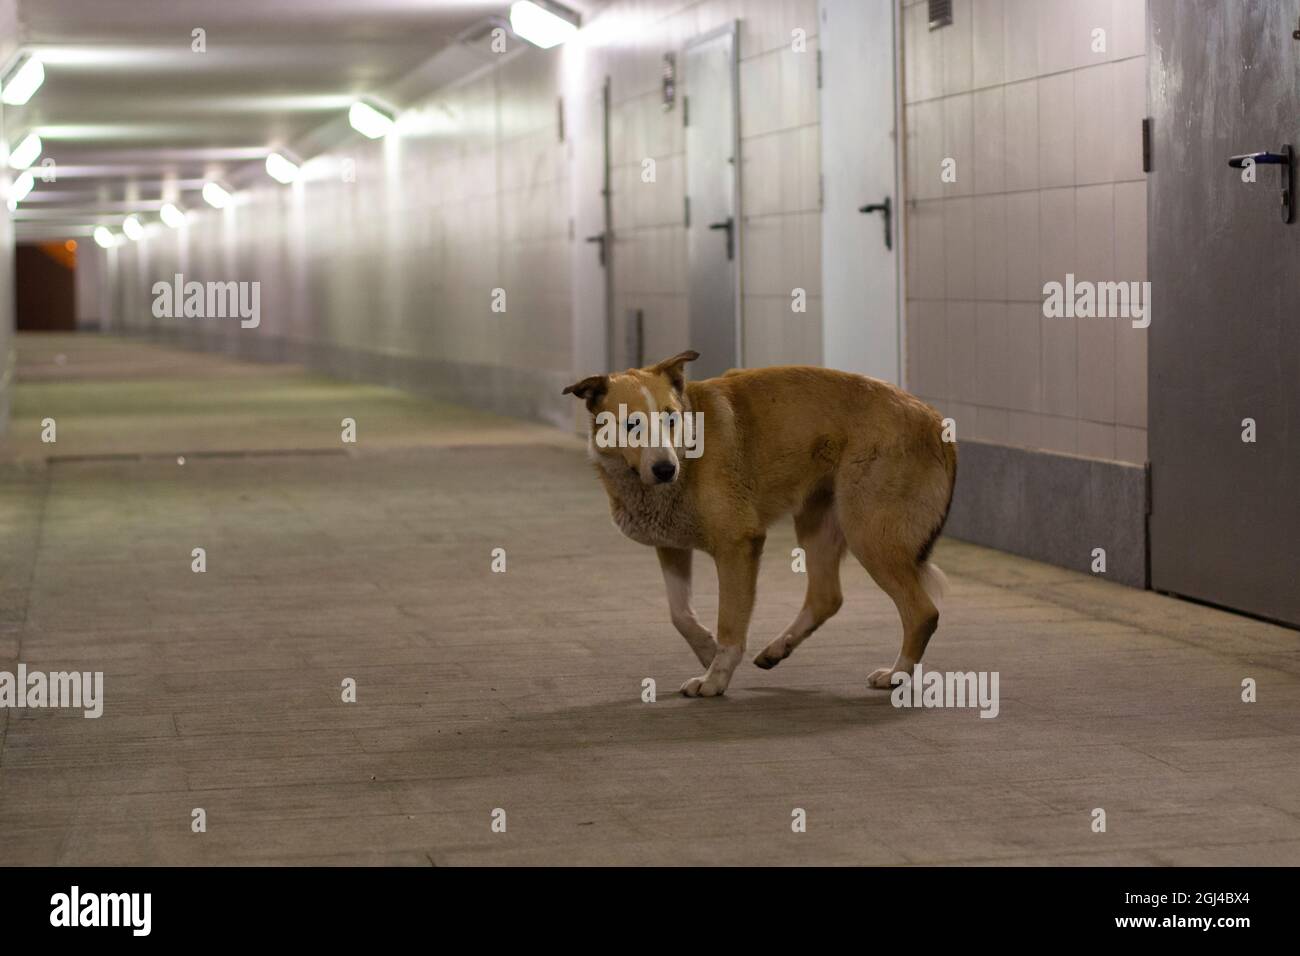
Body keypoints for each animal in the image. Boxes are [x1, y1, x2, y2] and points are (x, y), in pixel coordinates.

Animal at [566, 351, 956, 697]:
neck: (689, 450)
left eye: (671, 419)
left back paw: (896, 674)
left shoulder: (738, 546)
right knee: (826, 596)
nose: (666, 470)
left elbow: (730, 621)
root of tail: (935, 418)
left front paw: (715, 678)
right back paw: (777, 648)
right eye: (631, 423)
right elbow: (680, 614)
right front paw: (707, 651)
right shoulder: (672, 547)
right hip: (818, 522)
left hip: (868, 533)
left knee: (922, 612)